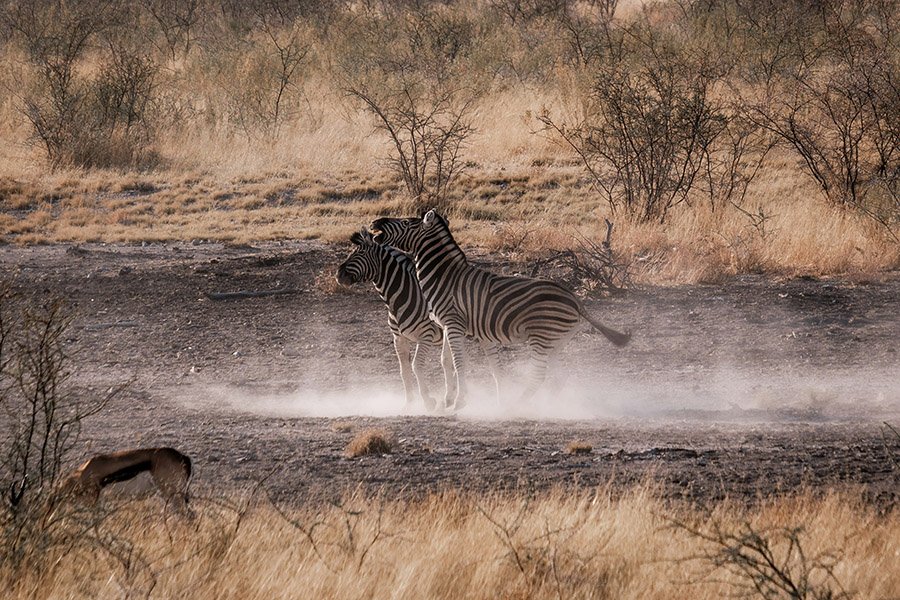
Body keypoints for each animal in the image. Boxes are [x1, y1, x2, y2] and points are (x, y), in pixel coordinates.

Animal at [336, 230, 454, 412]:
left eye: (359, 253)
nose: (338, 275)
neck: (397, 300)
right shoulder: (398, 338)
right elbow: (403, 370)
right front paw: (409, 403)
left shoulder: (426, 335)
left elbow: (416, 366)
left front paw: (428, 401)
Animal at [370, 209, 628, 410]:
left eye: (406, 222)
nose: (375, 222)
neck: (445, 277)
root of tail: (575, 300)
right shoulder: (447, 325)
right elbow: (447, 361)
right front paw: (448, 399)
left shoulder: (453, 323)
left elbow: (458, 362)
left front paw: (460, 401)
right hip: (553, 343)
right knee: (557, 377)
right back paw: (552, 407)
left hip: (540, 338)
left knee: (539, 375)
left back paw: (517, 405)